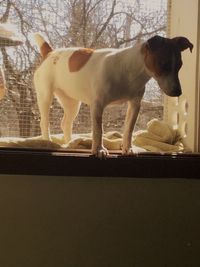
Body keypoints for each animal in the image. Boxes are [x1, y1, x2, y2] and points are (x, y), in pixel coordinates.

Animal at [33, 34, 193, 158]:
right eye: (163, 64)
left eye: (179, 66)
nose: (178, 92)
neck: (130, 71)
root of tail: (50, 53)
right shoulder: (98, 105)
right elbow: (98, 130)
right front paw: (99, 150)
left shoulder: (134, 105)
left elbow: (128, 130)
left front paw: (128, 149)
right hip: (45, 96)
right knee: (44, 123)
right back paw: (48, 141)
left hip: (71, 103)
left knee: (65, 123)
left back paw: (70, 143)